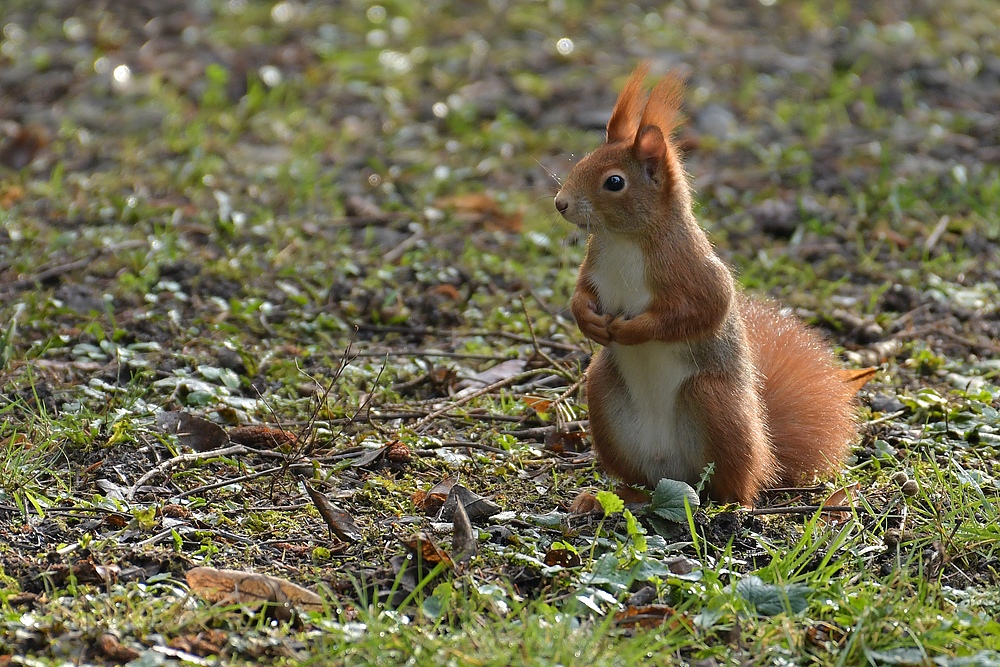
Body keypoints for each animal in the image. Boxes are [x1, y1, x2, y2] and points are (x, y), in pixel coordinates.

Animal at [556, 66, 868, 506]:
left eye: (614, 182)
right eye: (582, 160)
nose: (560, 203)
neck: (624, 239)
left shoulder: (693, 271)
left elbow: (703, 309)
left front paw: (632, 330)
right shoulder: (594, 267)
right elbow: (581, 295)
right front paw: (589, 321)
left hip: (714, 402)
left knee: (735, 485)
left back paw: (728, 503)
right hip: (603, 393)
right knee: (639, 482)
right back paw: (609, 496)